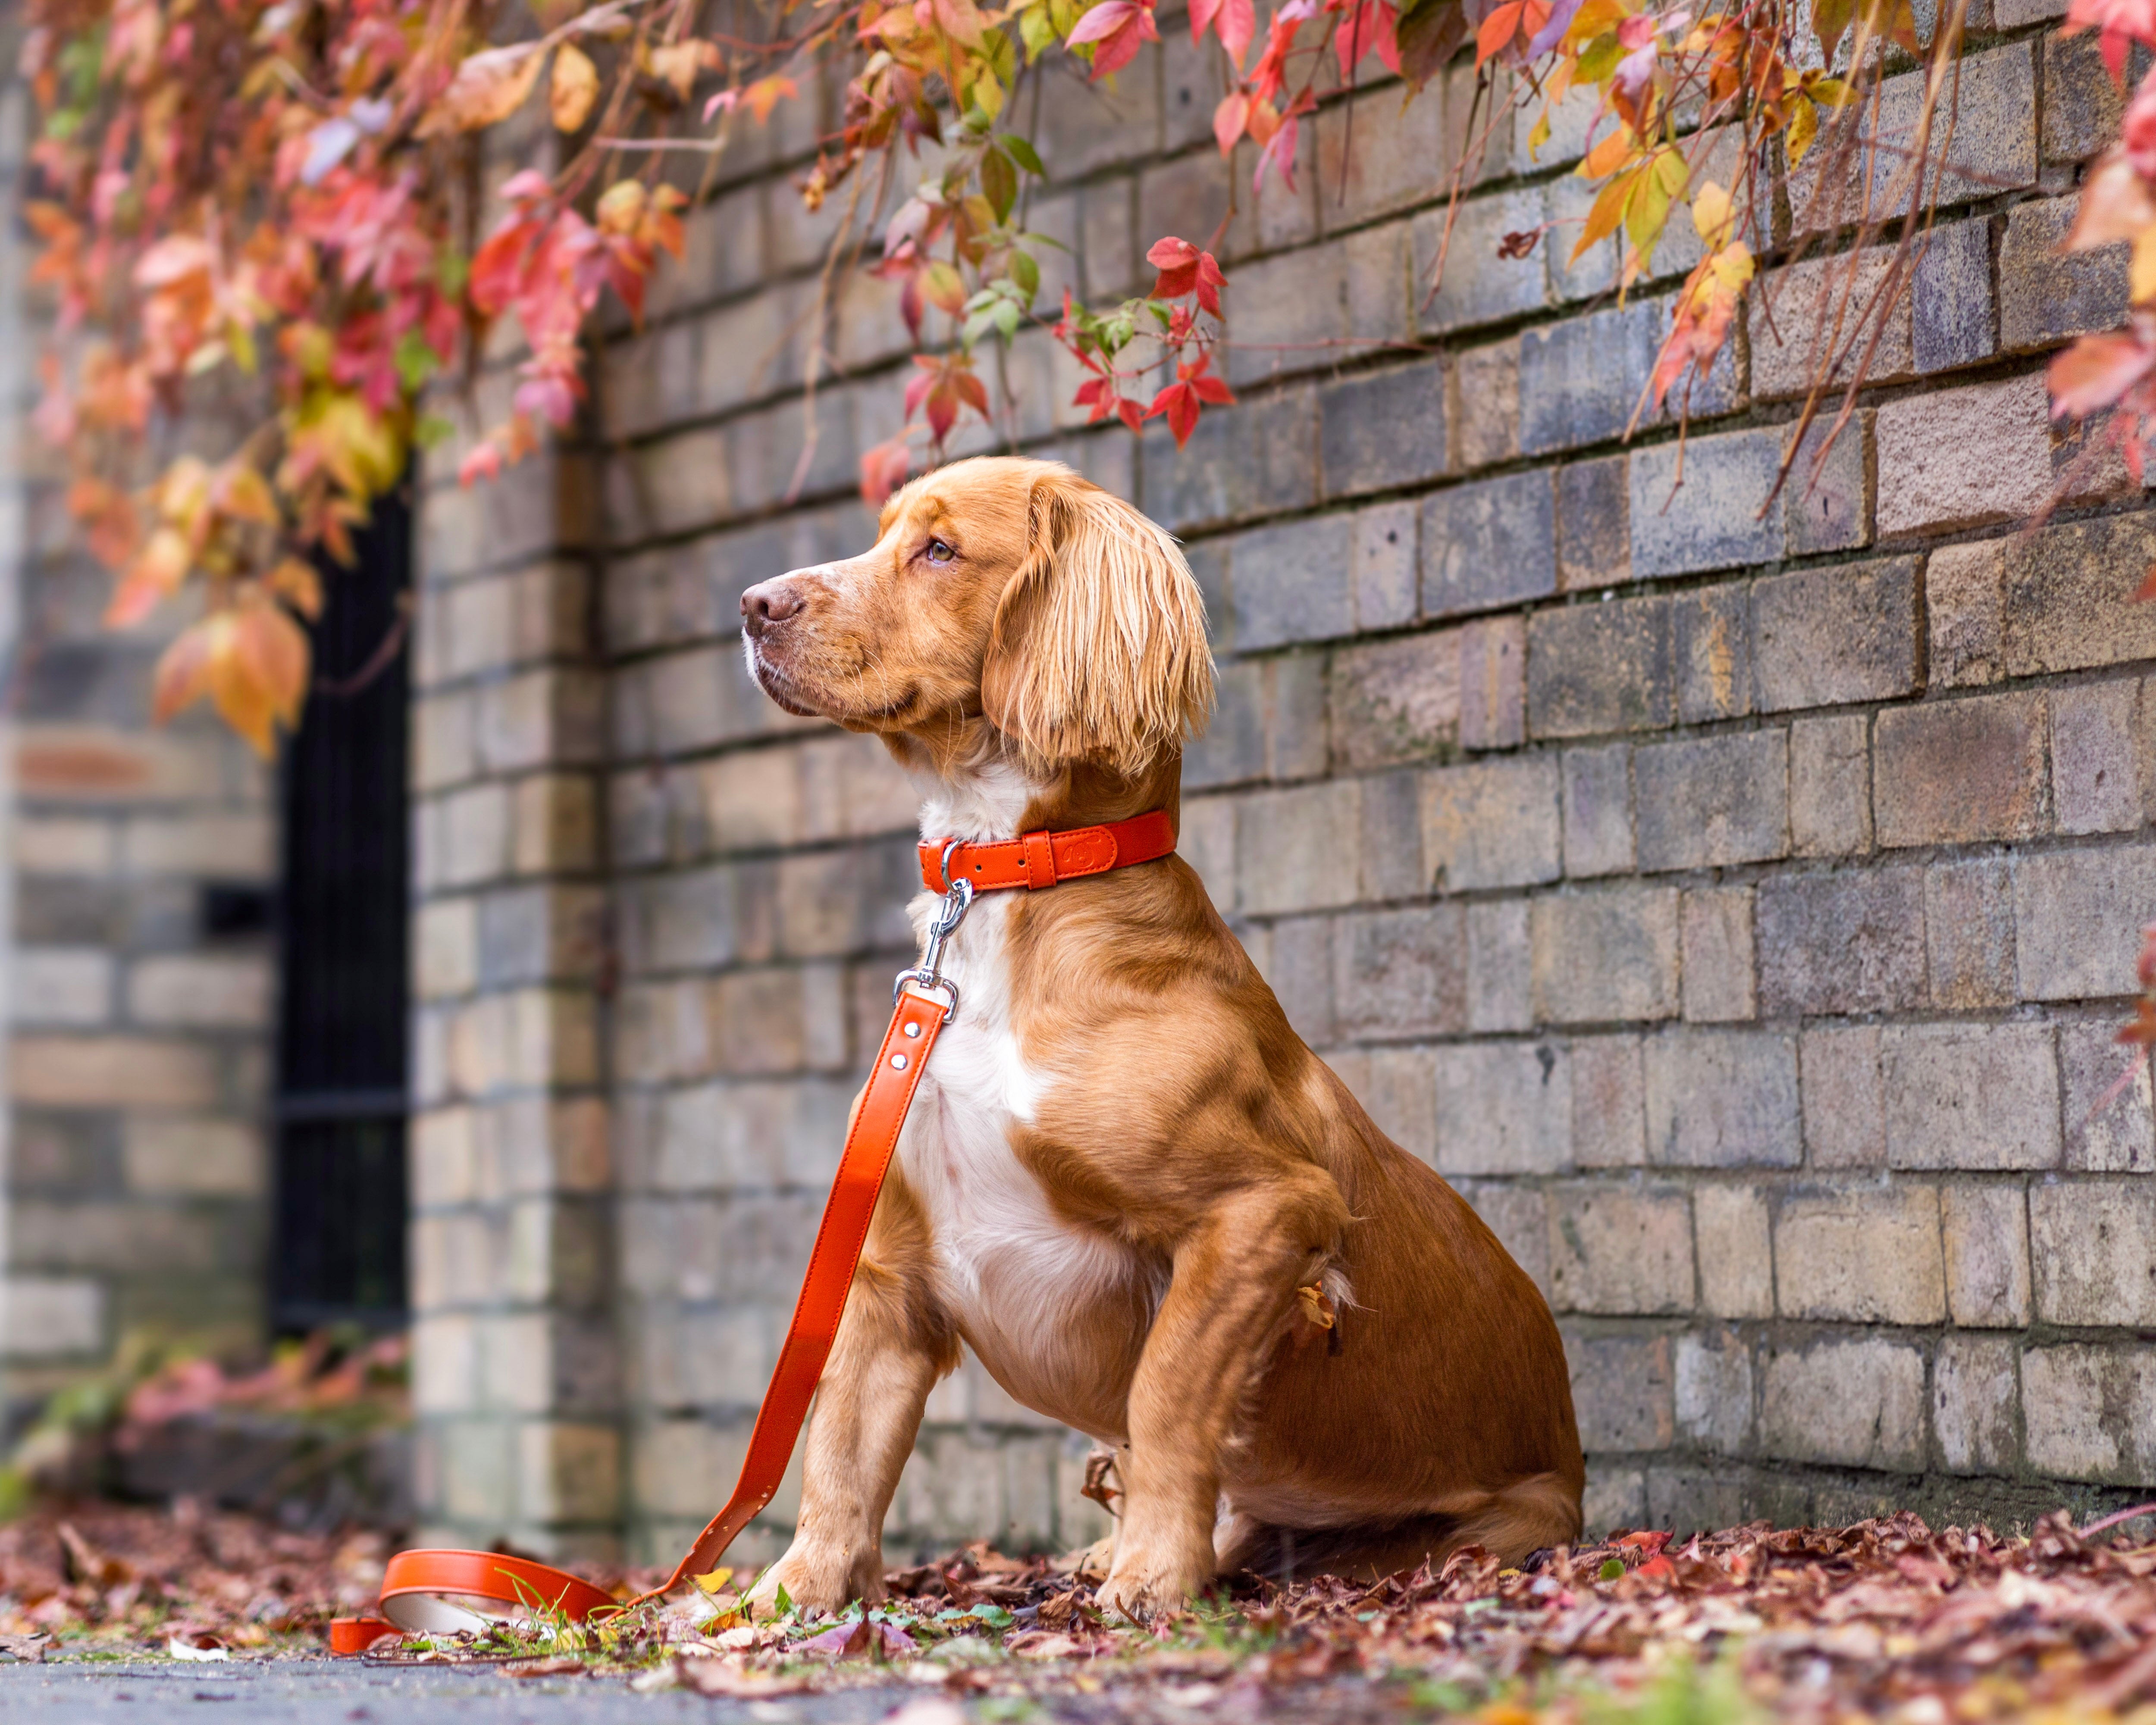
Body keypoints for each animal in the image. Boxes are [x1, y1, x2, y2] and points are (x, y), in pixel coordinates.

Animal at [742, 455, 1587, 1622]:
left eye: (940, 550)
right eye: (882, 536)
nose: (751, 604)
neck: (1013, 900)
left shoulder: (1261, 1211)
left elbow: (1169, 1397)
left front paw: (1153, 1576)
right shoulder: (888, 1271)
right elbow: (840, 1450)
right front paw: (787, 1595)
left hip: (1499, 1523)